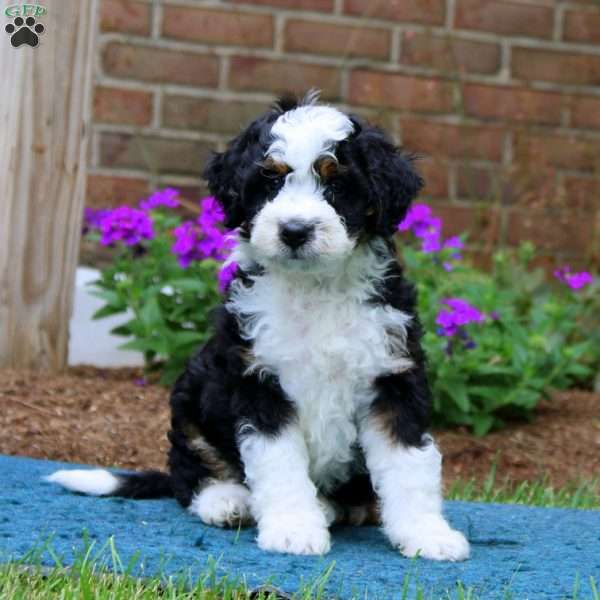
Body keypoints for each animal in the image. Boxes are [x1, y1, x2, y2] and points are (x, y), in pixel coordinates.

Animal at [48, 94, 468, 564]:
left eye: (337, 186)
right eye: (270, 181)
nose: (295, 231)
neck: (316, 287)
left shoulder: (393, 377)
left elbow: (409, 463)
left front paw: (427, 533)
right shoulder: (258, 381)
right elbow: (279, 464)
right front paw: (293, 530)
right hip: (193, 397)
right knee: (191, 472)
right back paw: (227, 501)